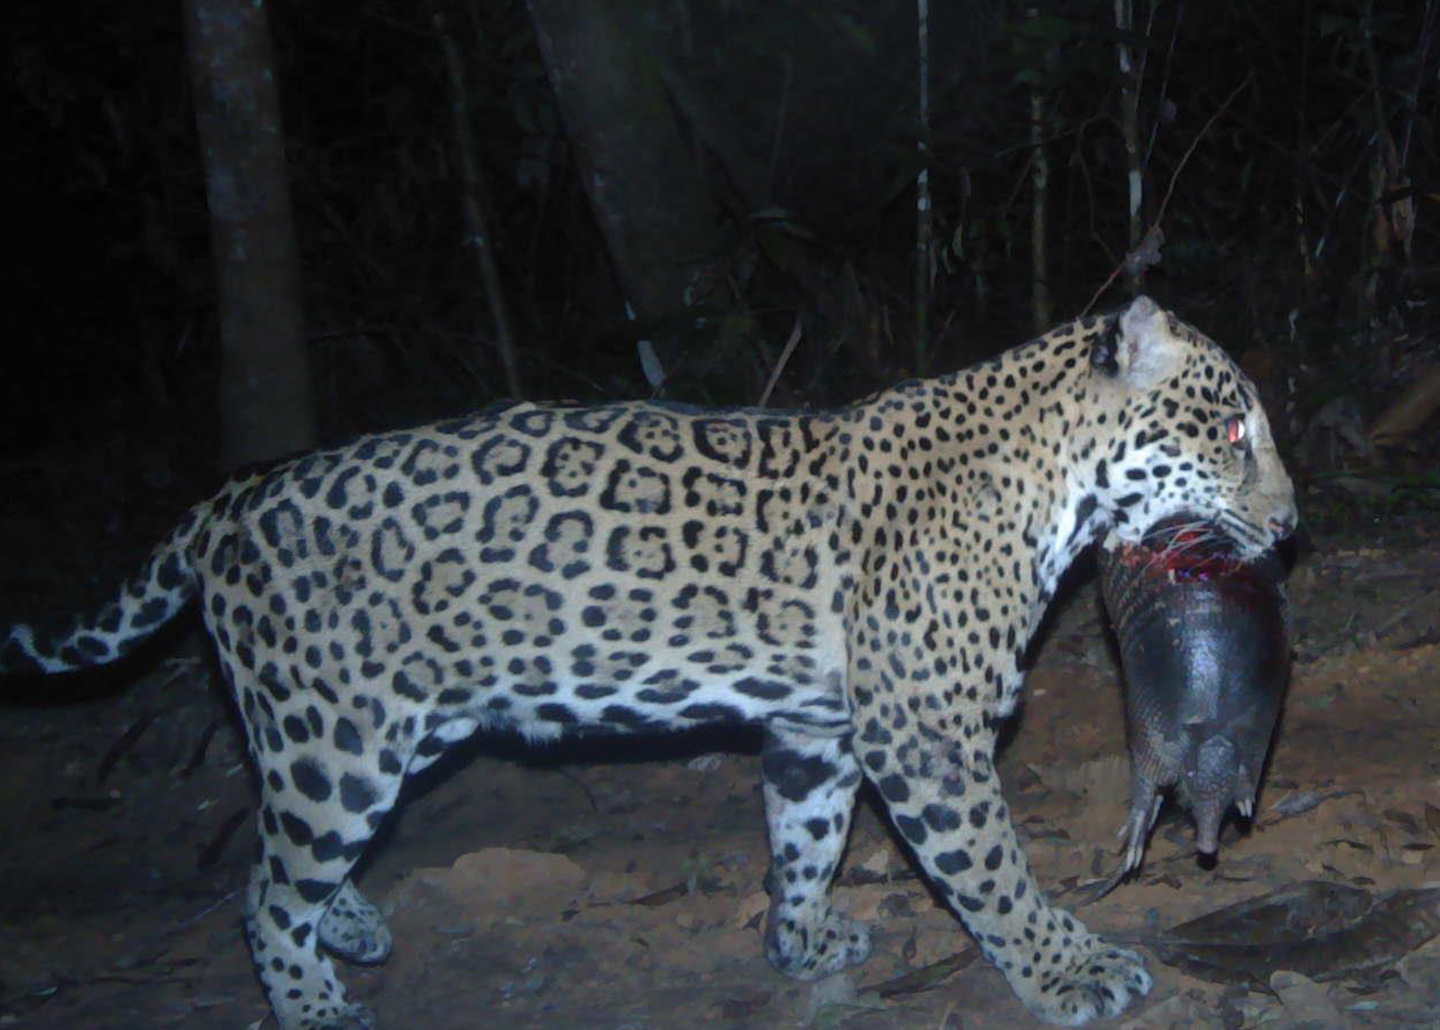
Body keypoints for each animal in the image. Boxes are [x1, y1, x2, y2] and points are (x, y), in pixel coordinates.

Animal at [1, 296, 1297, 1029]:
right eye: (1234, 428)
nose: (1291, 527)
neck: (1052, 488)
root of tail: (230, 501)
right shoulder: (924, 735)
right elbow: (994, 872)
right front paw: (1069, 971)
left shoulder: (819, 730)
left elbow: (804, 840)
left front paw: (799, 942)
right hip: (337, 736)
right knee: (267, 890)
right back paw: (316, 1002)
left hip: (377, 731)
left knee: (289, 862)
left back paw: (353, 932)